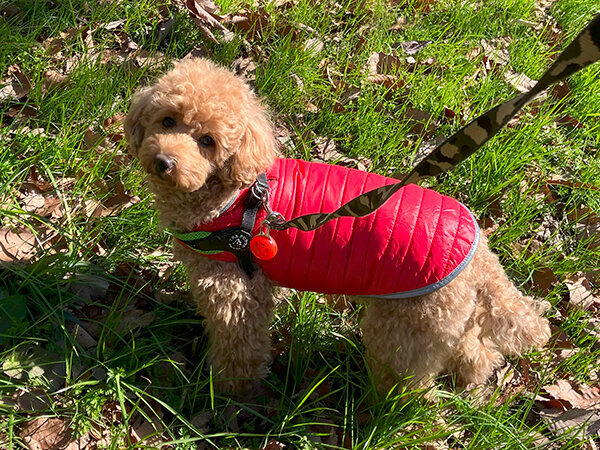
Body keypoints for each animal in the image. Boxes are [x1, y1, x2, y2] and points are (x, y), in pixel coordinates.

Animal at [124, 58, 552, 396]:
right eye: (167, 120)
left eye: (208, 141)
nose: (164, 161)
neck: (236, 196)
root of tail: (479, 253)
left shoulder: (237, 294)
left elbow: (240, 349)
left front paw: (230, 391)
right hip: (441, 316)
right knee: (476, 349)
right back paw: (471, 382)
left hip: (402, 330)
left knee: (410, 382)